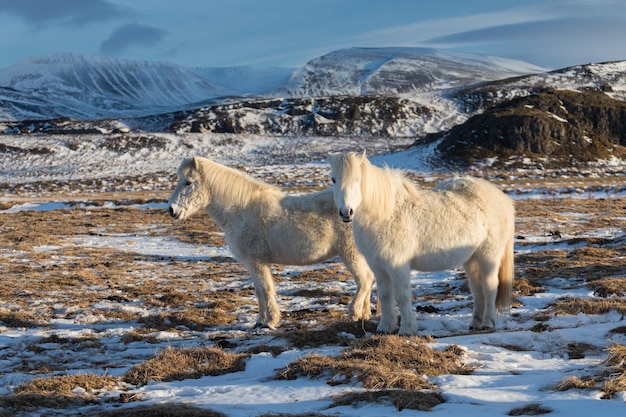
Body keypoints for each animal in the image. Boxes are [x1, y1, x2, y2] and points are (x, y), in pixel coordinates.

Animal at [166, 156, 372, 328]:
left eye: (188, 182)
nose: (171, 210)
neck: (241, 210)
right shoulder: (251, 263)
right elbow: (259, 292)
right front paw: (259, 321)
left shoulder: (258, 262)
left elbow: (266, 290)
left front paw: (271, 322)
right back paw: (365, 315)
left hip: (350, 253)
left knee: (364, 280)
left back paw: (354, 313)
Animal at [326, 152, 512, 334]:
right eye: (333, 179)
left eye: (357, 179)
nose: (346, 212)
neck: (385, 213)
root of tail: (503, 198)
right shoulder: (378, 265)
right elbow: (385, 295)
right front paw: (385, 327)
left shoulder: (397, 265)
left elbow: (402, 296)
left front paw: (407, 329)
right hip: (470, 259)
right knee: (477, 288)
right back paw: (475, 323)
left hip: (488, 256)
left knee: (489, 287)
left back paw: (488, 323)